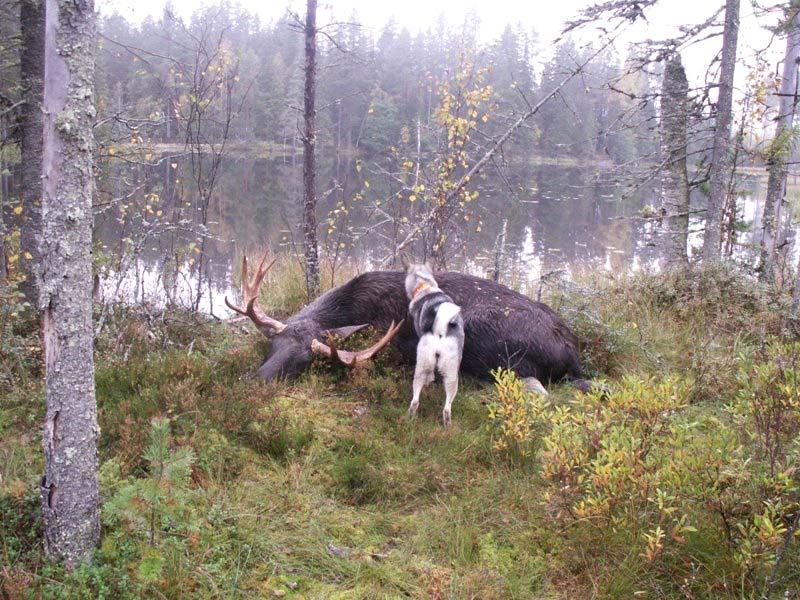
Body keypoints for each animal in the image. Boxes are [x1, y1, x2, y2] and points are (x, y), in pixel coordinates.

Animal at [404, 260, 466, 424]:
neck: (425, 287)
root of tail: (441, 329)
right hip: (451, 375)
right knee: (446, 408)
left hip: (421, 368)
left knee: (415, 400)